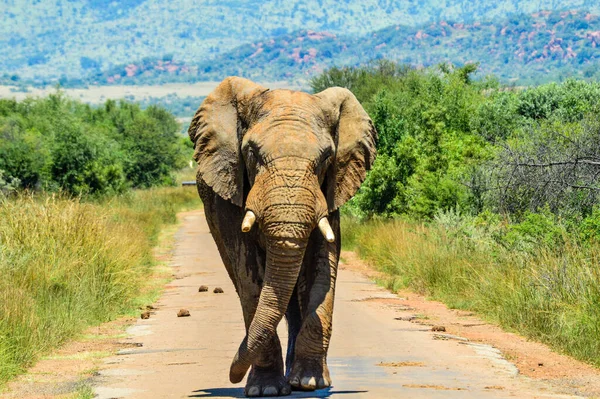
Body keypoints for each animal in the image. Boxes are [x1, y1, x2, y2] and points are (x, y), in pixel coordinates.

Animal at [189, 76, 376, 398]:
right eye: (251, 153)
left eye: (326, 157)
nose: (231, 377)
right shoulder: (230, 192)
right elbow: (249, 277)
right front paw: (265, 389)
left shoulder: (329, 193)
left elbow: (322, 268)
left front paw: (311, 383)